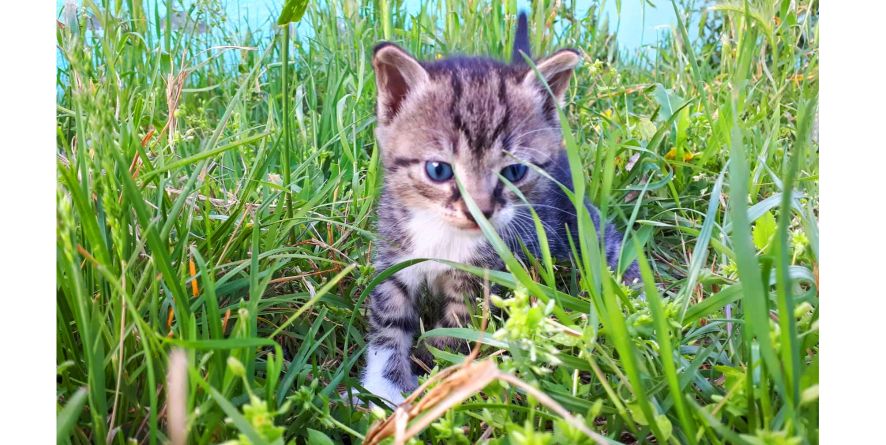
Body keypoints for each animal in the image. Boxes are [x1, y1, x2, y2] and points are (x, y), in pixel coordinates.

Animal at [364, 12, 640, 406]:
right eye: (439, 170)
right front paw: (384, 387)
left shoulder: (484, 276)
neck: (445, 235)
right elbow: (388, 320)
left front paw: (433, 381)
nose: (480, 209)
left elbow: (453, 335)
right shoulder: (397, 254)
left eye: (514, 172)